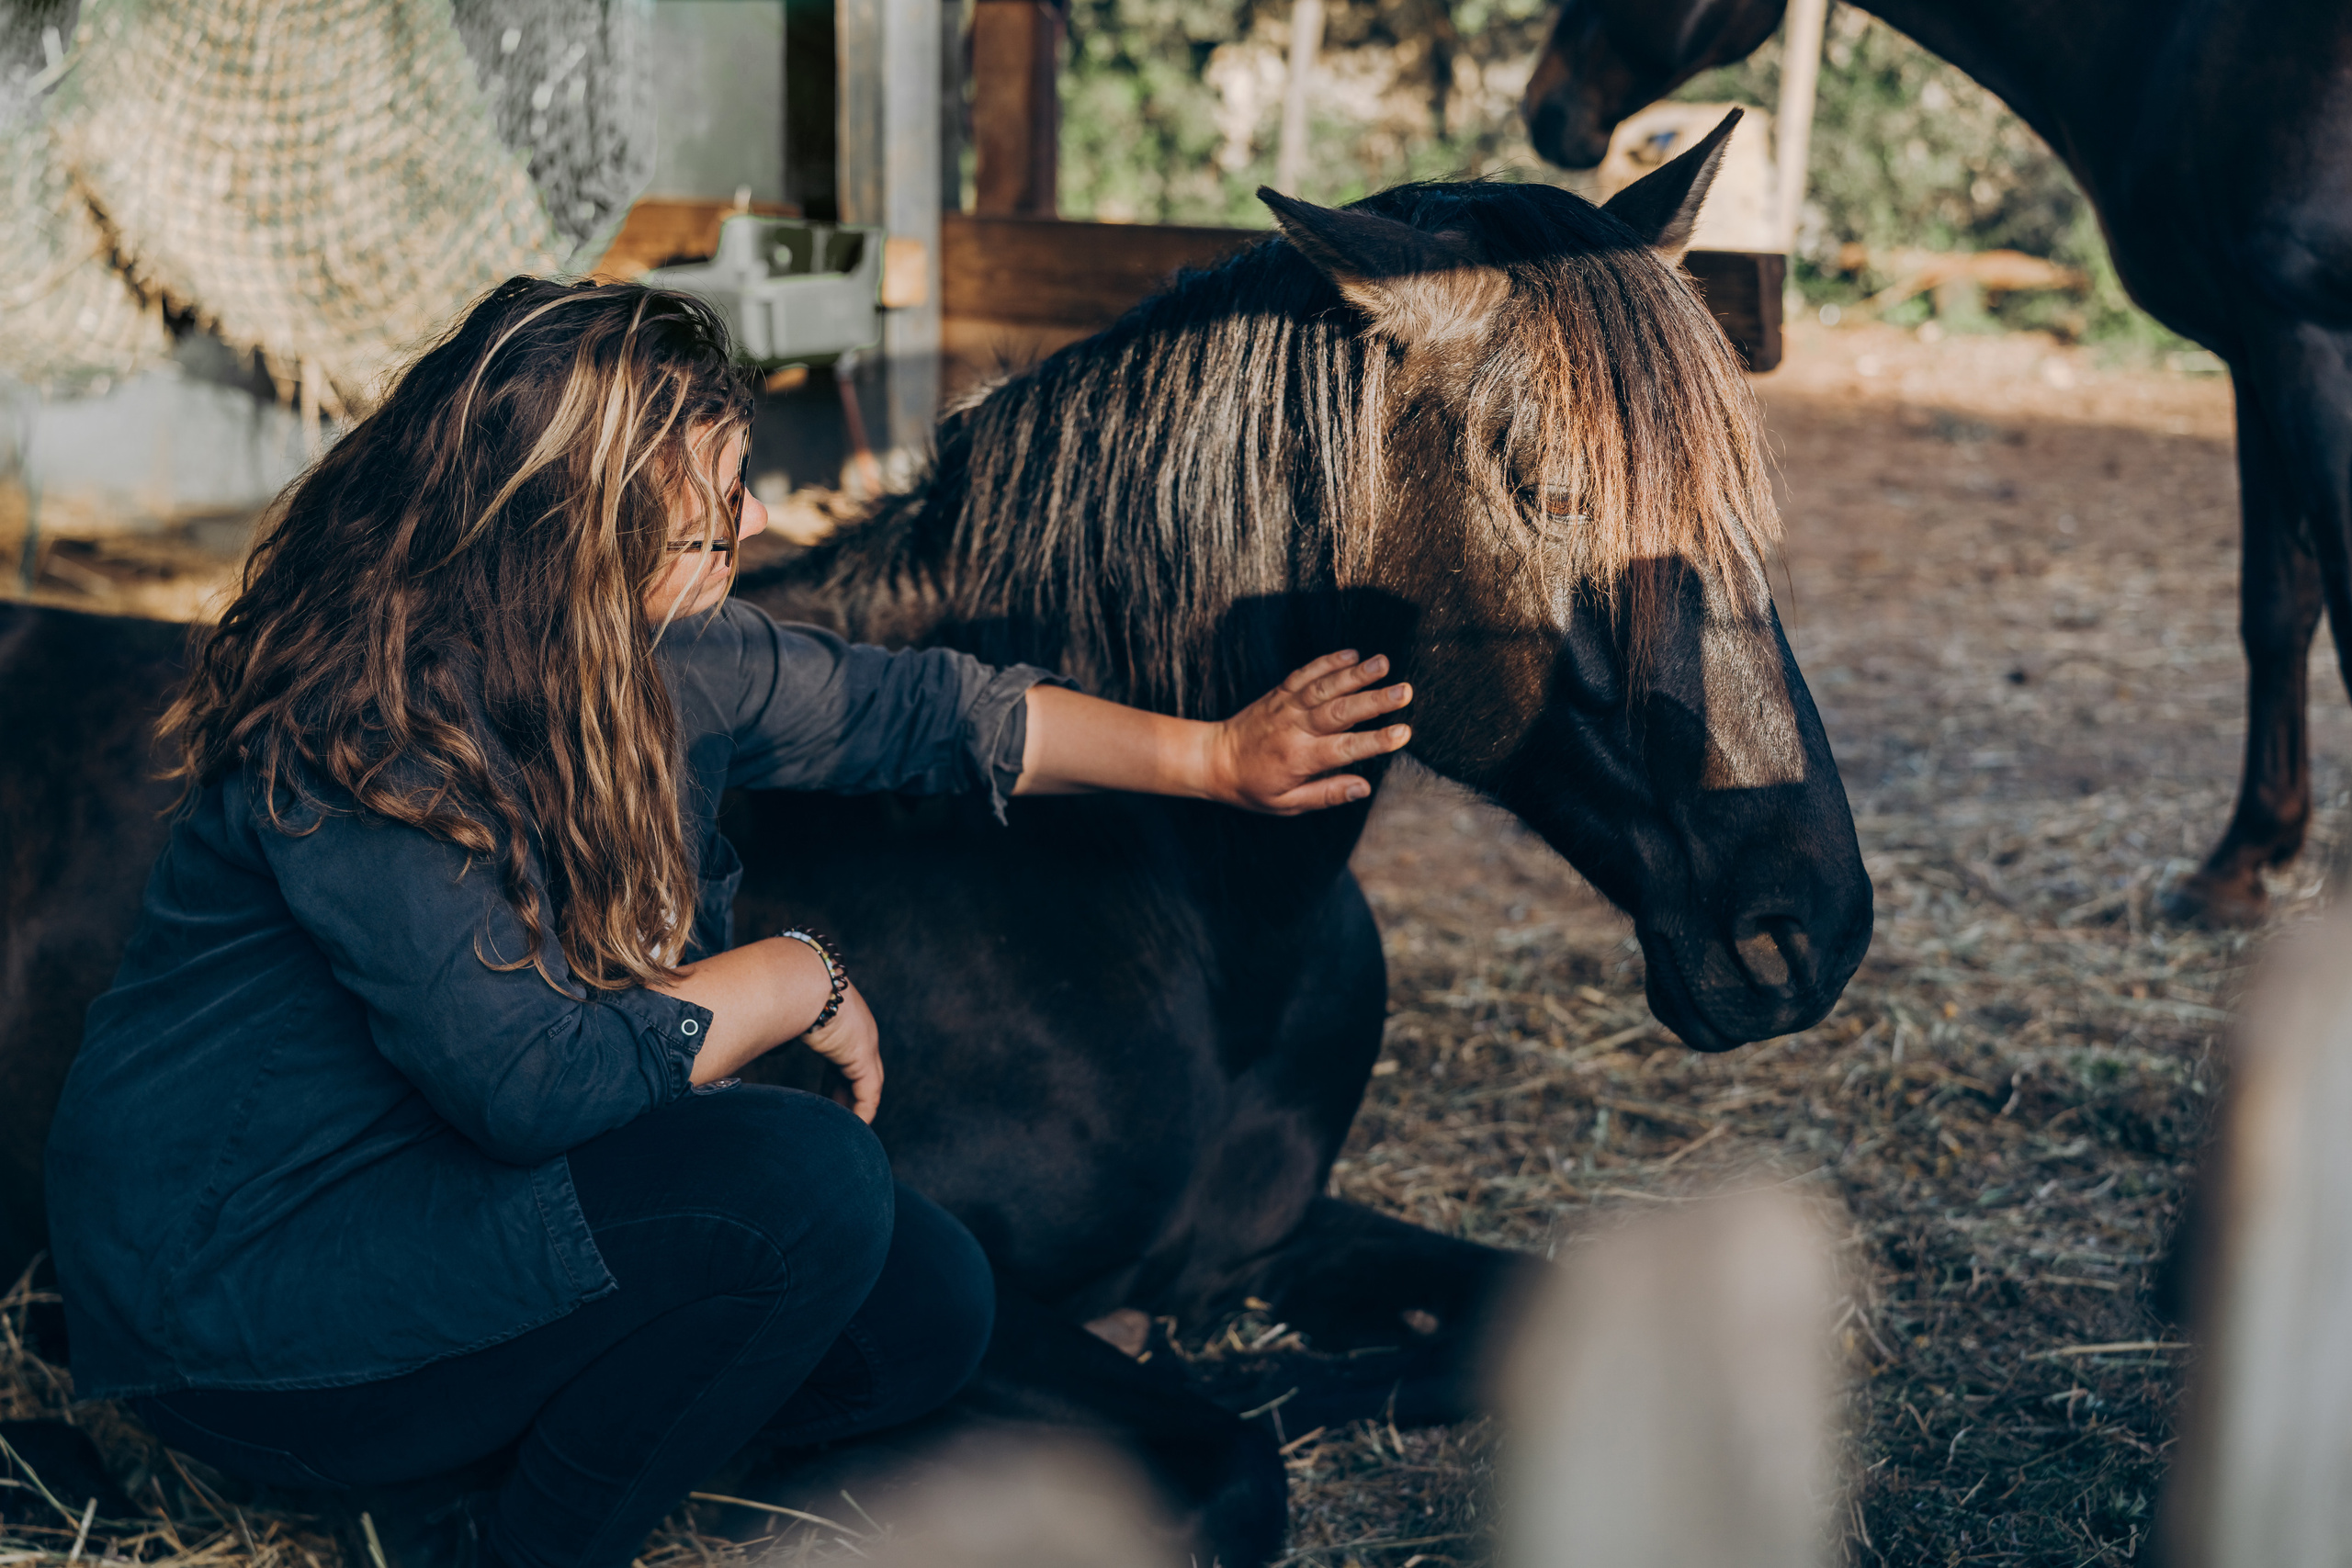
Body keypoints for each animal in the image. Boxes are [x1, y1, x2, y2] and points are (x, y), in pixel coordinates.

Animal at [1519, 0, 2352, 928]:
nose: (1545, 106)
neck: (2192, 43)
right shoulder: (2258, 351)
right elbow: (2278, 608)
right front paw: (2243, 858)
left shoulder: (2304, 337)